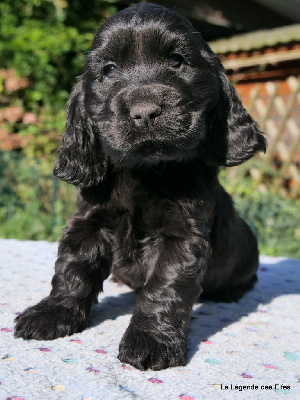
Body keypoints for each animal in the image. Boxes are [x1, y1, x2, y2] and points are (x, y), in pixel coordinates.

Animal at [15, 3, 266, 372]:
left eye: (177, 60)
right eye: (109, 70)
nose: (145, 112)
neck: (144, 170)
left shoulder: (181, 235)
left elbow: (163, 287)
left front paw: (151, 340)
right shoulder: (89, 222)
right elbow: (72, 269)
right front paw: (51, 313)